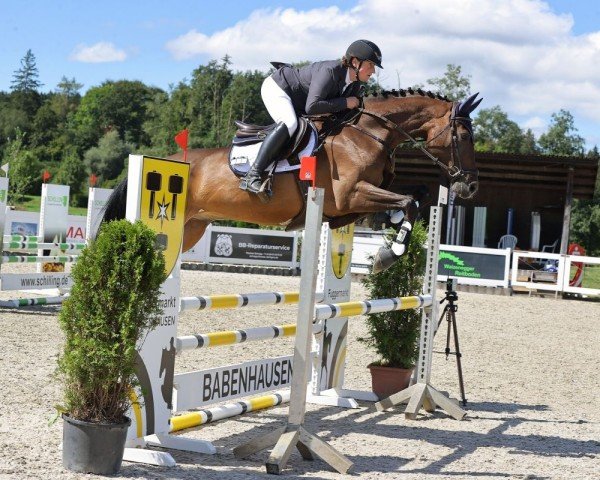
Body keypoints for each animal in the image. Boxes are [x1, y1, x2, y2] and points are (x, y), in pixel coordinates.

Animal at [101, 90, 480, 274]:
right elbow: (409, 202)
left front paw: (386, 243)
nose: (471, 186)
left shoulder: (347, 208)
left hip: (192, 226)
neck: (368, 134)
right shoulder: (350, 195)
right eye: (463, 136)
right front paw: (389, 255)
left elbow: (412, 200)